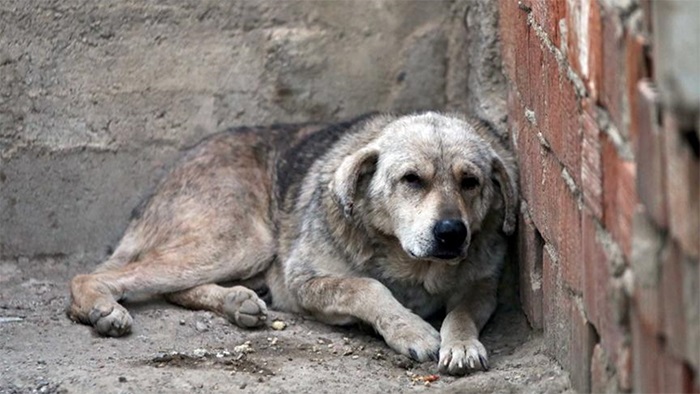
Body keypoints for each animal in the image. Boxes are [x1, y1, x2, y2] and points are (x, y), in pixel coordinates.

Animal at [68, 111, 516, 376]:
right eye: (411, 179)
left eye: (470, 182)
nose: (452, 232)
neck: (411, 265)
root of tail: (170, 171)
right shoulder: (303, 280)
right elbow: (367, 287)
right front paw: (411, 330)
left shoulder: (483, 287)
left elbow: (461, 312)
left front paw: (461, 345)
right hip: (242, 242)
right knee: (93, 276)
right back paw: (100, 308)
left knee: (175, 288)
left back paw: (238, 302)